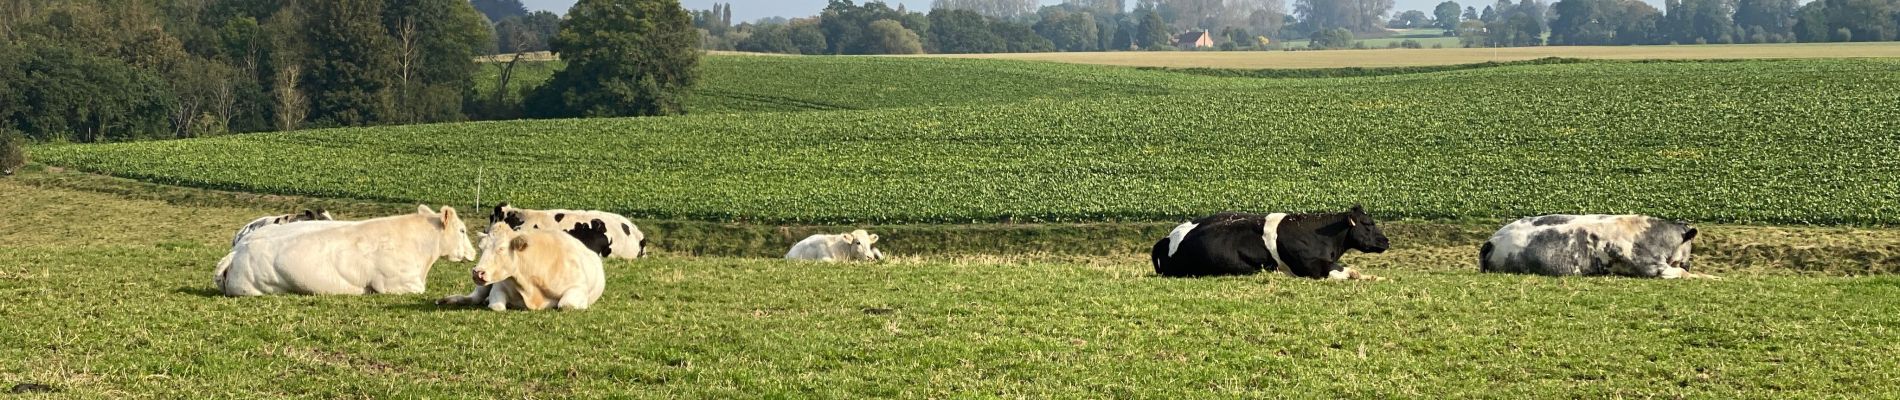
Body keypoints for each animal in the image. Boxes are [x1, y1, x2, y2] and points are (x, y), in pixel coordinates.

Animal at [435, 219, 604, 310]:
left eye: (501, 249)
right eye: (481, 248)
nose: (478, 272)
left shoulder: (577, 288)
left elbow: (566, 305)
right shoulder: (498, 287)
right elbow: (497, 306)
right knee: (473, 298)